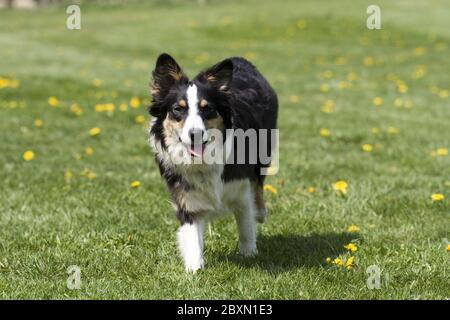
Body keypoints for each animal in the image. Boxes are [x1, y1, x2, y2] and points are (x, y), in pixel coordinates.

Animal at [148, 53, 278, 272]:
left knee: (258, 186)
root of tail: (241, 60)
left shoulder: (241, 189)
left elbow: (246, 225)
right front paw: (194, 269)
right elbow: (192, 236)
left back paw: (261, 213)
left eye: (207, 108)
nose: (195, 134)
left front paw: (249, 254)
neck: (203, 161)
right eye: (178, 109)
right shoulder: (186, 197)